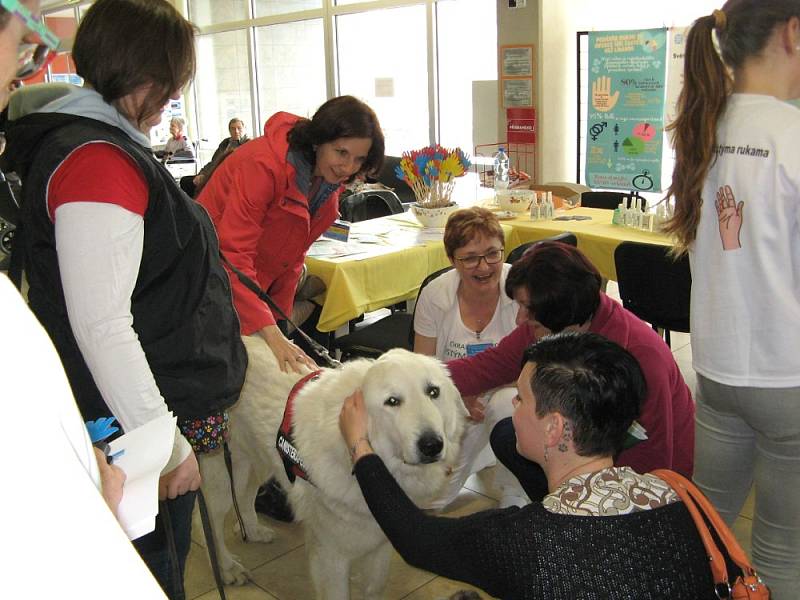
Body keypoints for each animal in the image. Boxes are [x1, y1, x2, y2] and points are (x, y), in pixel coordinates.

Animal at [197, 338, 466, 600]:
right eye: (392, 401)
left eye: (433, 392)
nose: (432, 445)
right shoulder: (331, 555)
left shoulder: (380, 546)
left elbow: (374, 588)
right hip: (225, 476)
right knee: (208, 524)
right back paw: (227, 568)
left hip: (256, 463)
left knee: (244, 498)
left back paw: (253, 531)